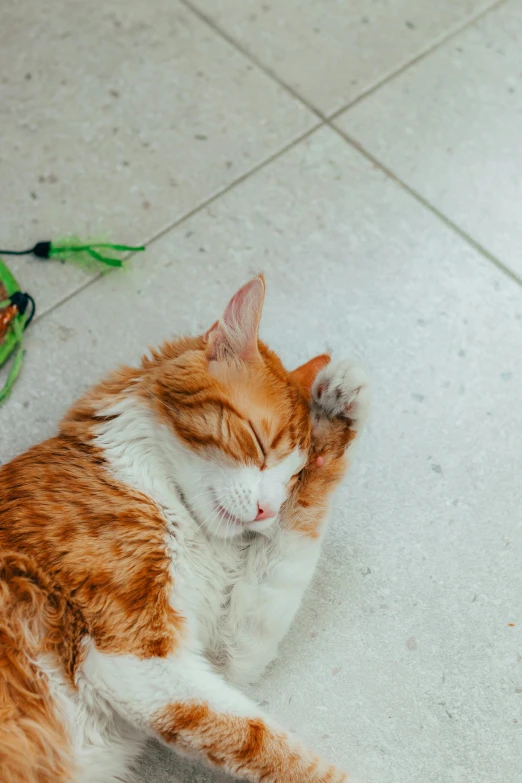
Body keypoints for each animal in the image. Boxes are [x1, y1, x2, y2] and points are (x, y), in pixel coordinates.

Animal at [0, 276, 368, 783]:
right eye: (259, 441)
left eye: (293, 476)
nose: (266, 511)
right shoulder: (136, 660)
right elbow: (272, 746)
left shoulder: (220, 654)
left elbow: (294, 544)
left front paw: (337, 411)